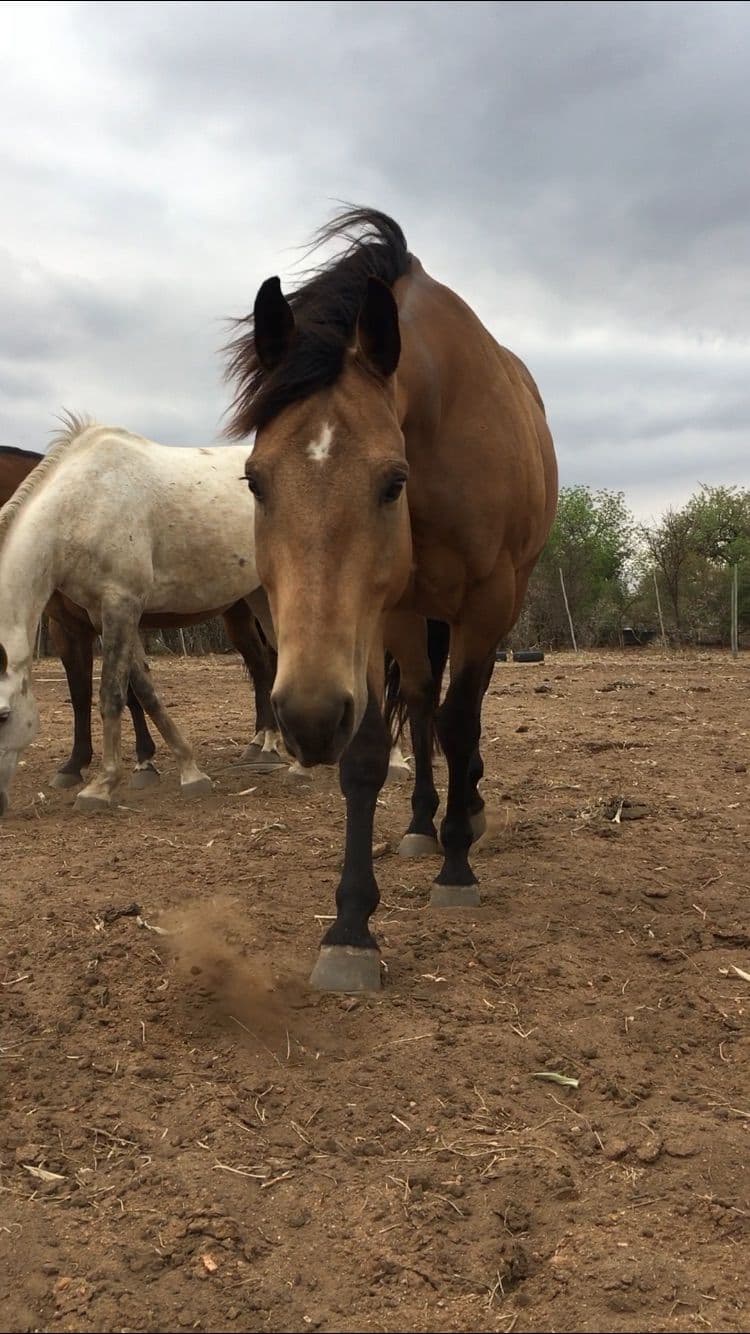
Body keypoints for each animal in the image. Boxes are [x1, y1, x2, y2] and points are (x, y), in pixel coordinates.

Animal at [0, 443, 284, 793]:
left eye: (3, 716)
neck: (78, 512)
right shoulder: (90, 620)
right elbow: (126, 690)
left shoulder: (115, 611)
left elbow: (115, 691)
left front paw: (125, 770)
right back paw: (265, 744)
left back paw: (272, 747)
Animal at [224, 206, 558, 993]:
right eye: (255, 479)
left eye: (390, 482)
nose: (307, 718)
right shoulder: (378, 618)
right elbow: (372, 751)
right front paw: (350, 928)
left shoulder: (485, 604)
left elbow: (464, 724)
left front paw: (458, 867)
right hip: (413, 620)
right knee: (426, 707)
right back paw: (419, 825)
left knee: (460, 711)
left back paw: (466, 814)